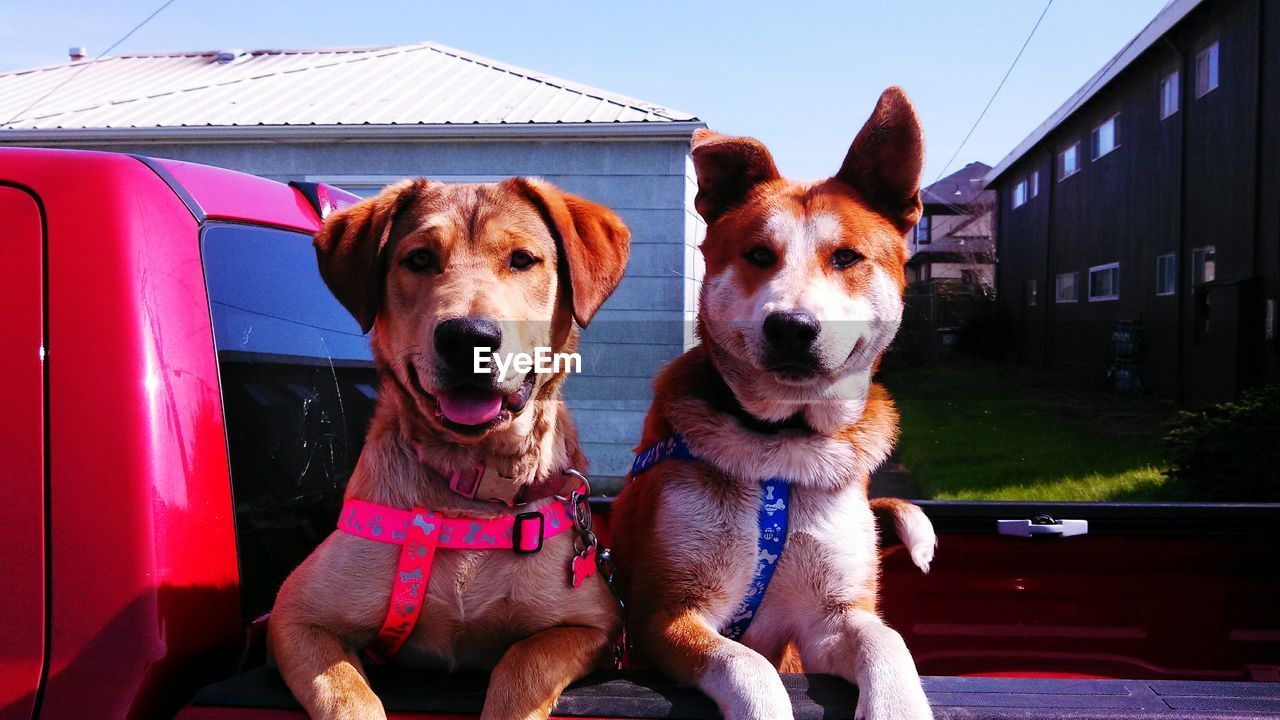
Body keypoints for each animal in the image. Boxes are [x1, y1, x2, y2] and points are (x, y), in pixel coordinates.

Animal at [271, 176, 629, 717]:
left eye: (522, 260)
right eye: (419, 259)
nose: (468, 337)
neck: (475, 479)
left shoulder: (593, 622)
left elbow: (523, 663)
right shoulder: (295, 613)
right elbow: (346, 695)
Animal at [614, 89, 936, 717]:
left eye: (846, 258)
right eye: (758, 254)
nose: (792, 327)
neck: (780, 444)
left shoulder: (833, 620)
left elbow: (889, 644)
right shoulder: (667, 615)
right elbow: (749, 667)